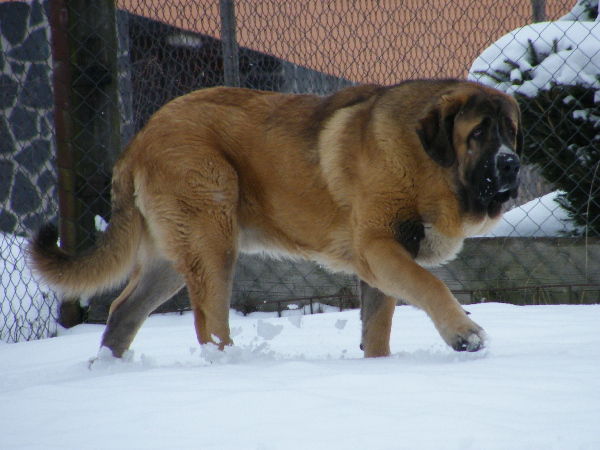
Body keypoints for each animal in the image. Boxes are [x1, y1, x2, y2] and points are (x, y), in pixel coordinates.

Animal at [29, 78, 520, 358]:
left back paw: (107, 367)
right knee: (210, 323)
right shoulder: (379, 246)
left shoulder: (382, 262)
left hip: (171, 257)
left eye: (511, 132)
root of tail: (140, 138)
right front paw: (465, 335)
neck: (425, 161)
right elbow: (430, 284)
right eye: (479, 133)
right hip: (212, 240)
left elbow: (378, 325)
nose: (512, 164)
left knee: (123, 311)